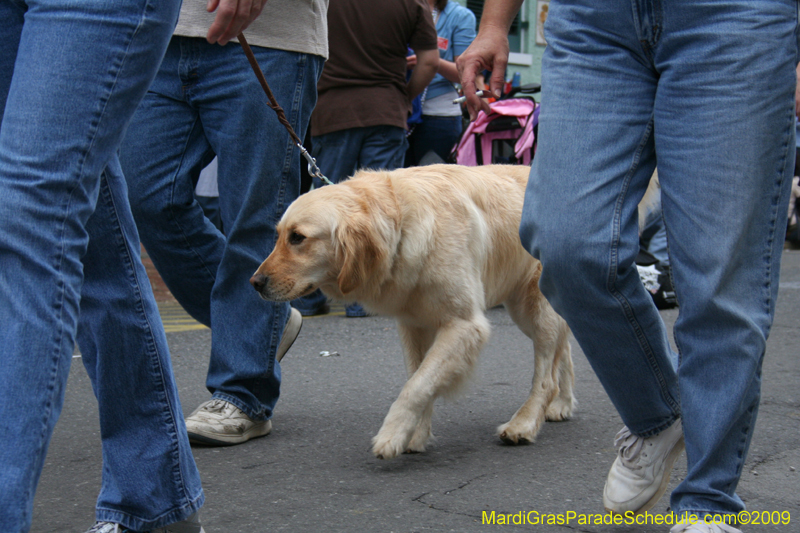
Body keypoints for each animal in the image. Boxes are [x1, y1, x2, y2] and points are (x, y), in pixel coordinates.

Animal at [253, 164, 572, 460]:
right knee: (563, 351)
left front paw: (392, 435)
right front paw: (415, 435)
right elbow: (419, 377)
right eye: (278, 235)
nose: (254, 283)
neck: (401, 224)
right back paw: (562, 404)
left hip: (532, 307)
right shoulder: (413, 324)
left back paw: (524, 423)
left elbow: (417, 386)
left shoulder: (465, 325)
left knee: (546, 376)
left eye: (298, 237)